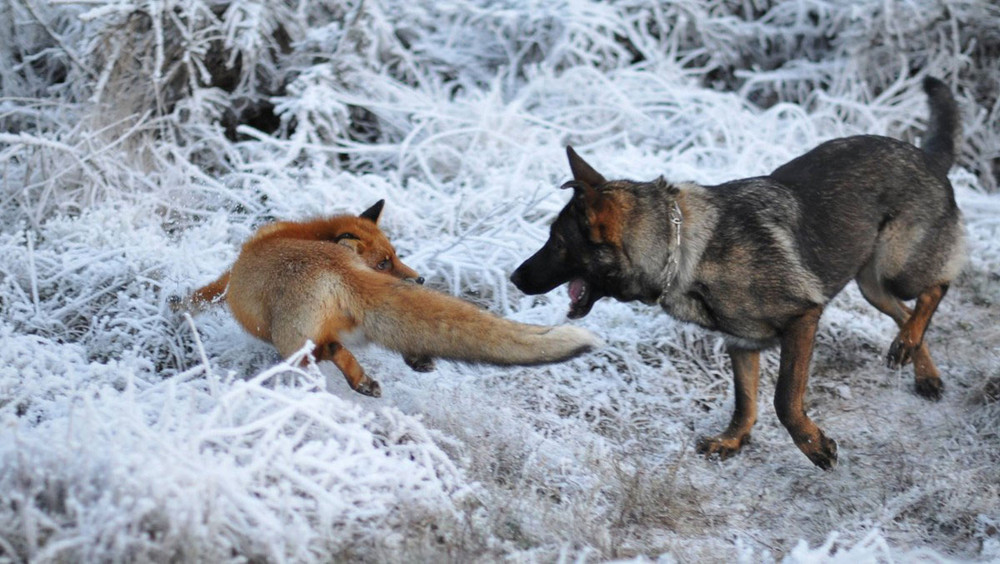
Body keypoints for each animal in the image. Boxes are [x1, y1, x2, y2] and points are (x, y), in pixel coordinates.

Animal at [176, 202, 602, 398]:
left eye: (395, 256)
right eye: (386, 261)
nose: (420, 279)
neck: (304, 235)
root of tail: (337, 267)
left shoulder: (228, 279)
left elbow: (203, 295)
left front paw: (177, 308)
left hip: (291, 344)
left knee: (326, 351)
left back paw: (356, 380)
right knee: (348, 345)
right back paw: (380, 374)